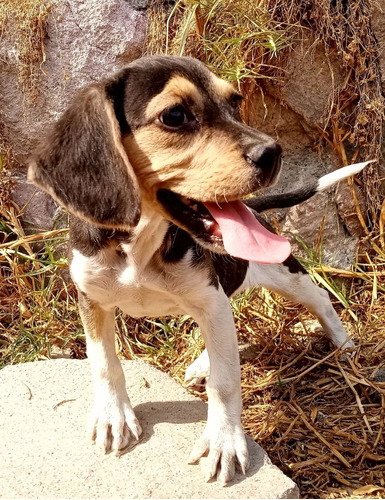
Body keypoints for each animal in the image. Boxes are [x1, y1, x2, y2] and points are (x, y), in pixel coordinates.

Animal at [28, 54, 364, 484]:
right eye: (174, 115)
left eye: (235, 102)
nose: (273, 152)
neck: (142, 246)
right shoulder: (92, 299)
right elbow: (103, 361)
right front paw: (112, 415)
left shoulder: (209, 299)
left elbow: (226, 382)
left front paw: (224, 440)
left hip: (283, 274)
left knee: (320, 298)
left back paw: (344, 345)